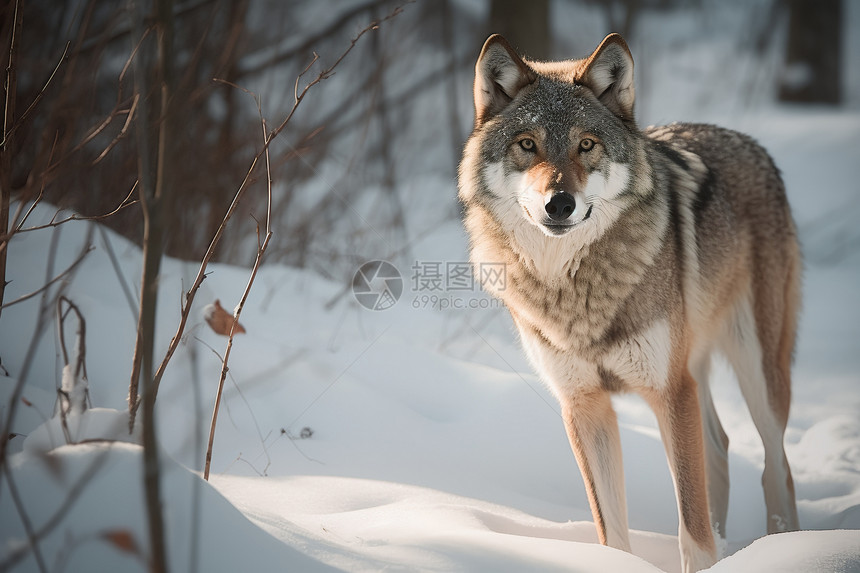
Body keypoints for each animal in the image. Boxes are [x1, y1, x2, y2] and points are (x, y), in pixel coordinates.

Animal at [460, 33, 804, 568]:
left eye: (586, 144)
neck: (575, 290)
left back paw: (780, 546)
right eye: (527, 144)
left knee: (776, 466)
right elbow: (612, 533)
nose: (559, 204)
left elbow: (691, 530)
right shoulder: (584, 406)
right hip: (695, 370)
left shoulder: (670, 391)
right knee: (720, 448)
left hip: (757, 373)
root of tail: (752, 144)